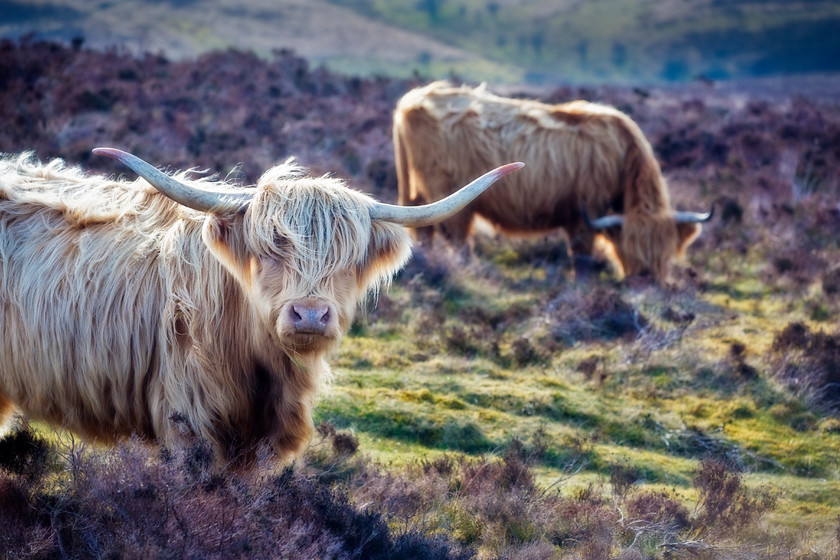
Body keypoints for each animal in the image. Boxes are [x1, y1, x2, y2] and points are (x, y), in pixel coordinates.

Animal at [394, 81, 708, 280]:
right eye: (631, 251)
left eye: (663, 257)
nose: (646, 281)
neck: (624, 156)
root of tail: (413, 100)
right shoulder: (586, 211)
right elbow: (581, 253)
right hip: (448, 192)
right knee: (456, 236)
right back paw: (469, 271)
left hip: (420, 194)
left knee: (426, 230)